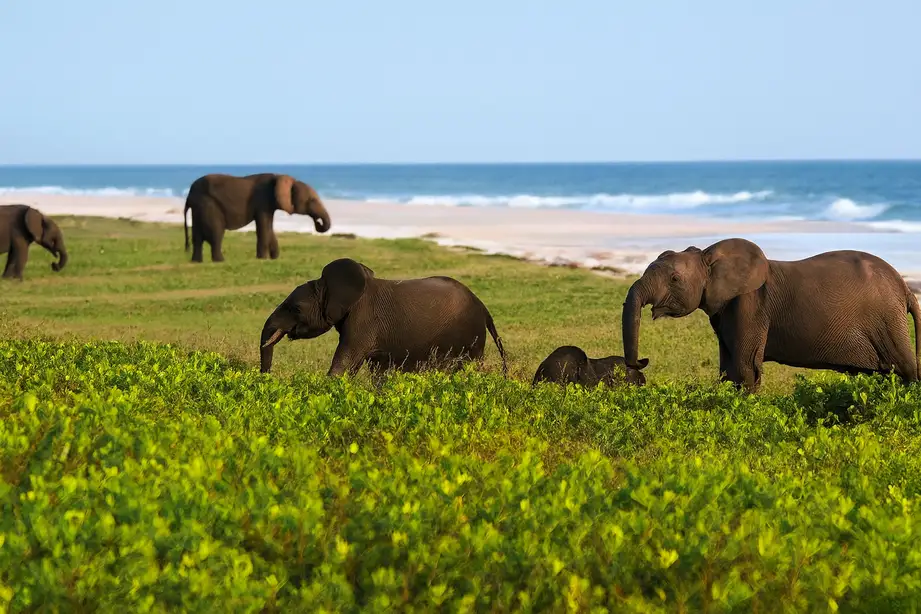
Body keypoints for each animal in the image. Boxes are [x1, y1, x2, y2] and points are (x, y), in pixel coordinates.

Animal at [183, 172, 331, 262]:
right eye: (311, 200)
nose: (318, 223)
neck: (279, 177)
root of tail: (189, 195)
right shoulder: (263, 201)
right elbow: (263, 227)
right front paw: (263, 259)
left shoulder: (268, 205)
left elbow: (269, 227)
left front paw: (274, 258)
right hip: (208, 205)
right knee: (216, 233)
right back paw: (220, 261)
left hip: (198, 208)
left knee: (197, 236)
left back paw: (196, 261)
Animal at [259, 258, 508, 377]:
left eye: (295, 308)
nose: (268, 377)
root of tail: (481, 305)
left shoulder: (363, 320)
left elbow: (344, 363)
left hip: (469, 336)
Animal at [622, 237, 921, 393]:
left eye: (674, 279)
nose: (641, 362)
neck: (710, 255)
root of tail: (905, 288)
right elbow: (728, 368)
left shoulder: (750, 305)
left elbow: (744, 368)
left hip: (887, 320)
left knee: (906, 370)